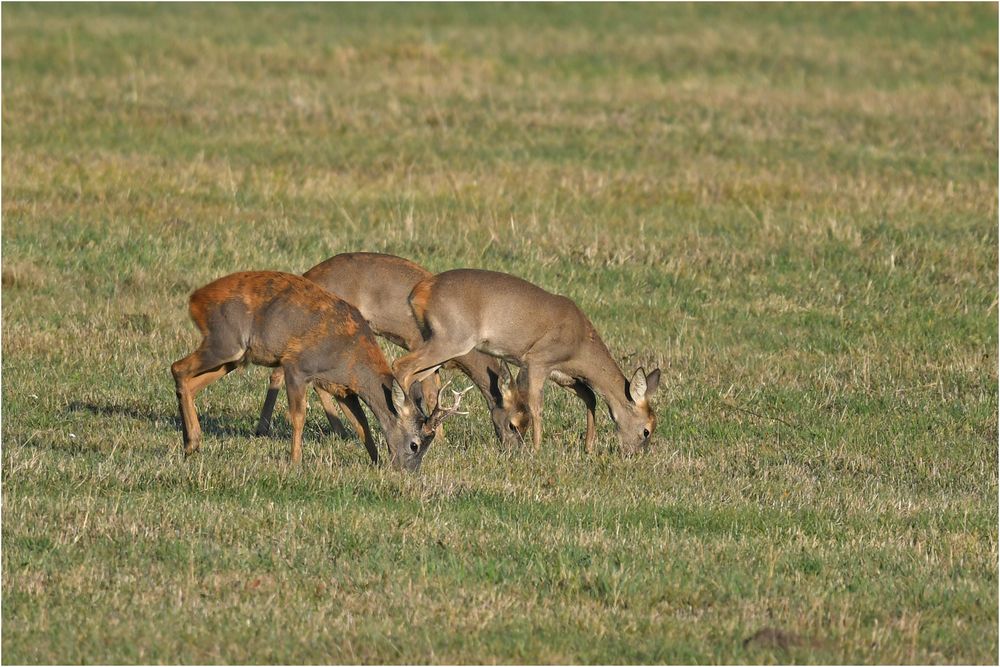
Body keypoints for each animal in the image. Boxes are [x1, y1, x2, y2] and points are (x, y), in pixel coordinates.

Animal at [170, 270, 466, 470]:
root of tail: (195, 299)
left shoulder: (344, 387)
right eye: (415, 444)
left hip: (234, 357)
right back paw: (191, 443)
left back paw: (193, 443)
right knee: (178, 368)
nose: (408, 472)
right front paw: (295, 461)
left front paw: (375, 461)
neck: (352, 356)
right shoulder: (296, 366)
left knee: (190, 381)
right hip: (225, 341)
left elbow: (362, 425)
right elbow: (298, 416)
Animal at [254, 254, 528, 448]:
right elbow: (429, 395)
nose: (515, 450)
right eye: (514, 424)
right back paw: (265, 428)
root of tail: (308, 276)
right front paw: (439, 440)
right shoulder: (419, 346)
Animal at [392, 270, 664, 454]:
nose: (634, 454)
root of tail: (420, 291)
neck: (580, 341)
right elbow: (536, 406)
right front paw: (536, 449)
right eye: (646, 430)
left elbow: (590, 397)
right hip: (450, 340)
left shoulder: (563, 374)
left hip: (435, 342)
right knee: (401, 367)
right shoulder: (536, 362)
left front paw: (587, 447)